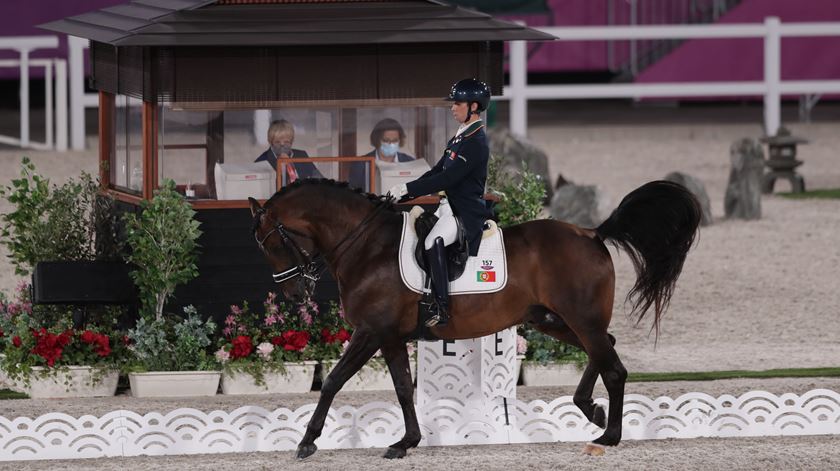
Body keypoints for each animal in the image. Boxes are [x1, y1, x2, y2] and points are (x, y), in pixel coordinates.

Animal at [249, 180, 704, 460]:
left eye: (271, 243)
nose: (294, 293)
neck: (367, 245)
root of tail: (592, 234)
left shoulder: (371, 332)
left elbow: (332, 381)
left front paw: (307, 441)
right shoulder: (390, 336)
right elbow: (402, 388)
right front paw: (406, 441)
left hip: (579, 320)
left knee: (614, 367)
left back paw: (608, 435)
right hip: (554, 320)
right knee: (606, 348)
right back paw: (592, 410)